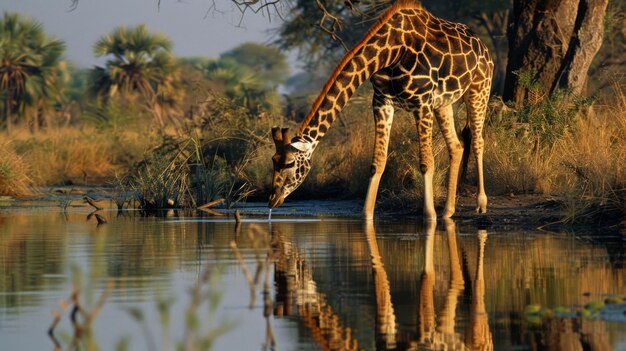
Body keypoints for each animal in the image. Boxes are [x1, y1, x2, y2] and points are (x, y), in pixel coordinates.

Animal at [268, 0, 492, 220]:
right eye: (274, 160)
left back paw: (480, 203)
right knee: (456, 146)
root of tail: (483, 47)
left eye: (289, 164)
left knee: (478, 140)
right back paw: (448, 211)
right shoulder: (382, 102)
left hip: (479, 89)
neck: (392, 51)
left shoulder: (421, 102)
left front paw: (429, 216)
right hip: (443, 103)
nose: (272, 199)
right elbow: (378, 162)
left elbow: (426, 162)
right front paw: (366, 215)